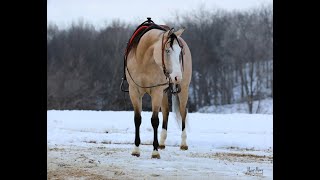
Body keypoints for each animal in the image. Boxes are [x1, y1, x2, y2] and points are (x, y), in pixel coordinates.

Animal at [120, 17, 191, 158]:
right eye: (167, 50)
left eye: (180, 53)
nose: (177, 77)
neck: (144, 61)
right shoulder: (134, 91)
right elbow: (137, 119)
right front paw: (136, 149)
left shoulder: (156, 92)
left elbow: (154, 120)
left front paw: (155, 151)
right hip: (164, 93)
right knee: (166, 112)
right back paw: (162, 142)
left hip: (183, 90)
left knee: (183, 112)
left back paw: (183, 143)